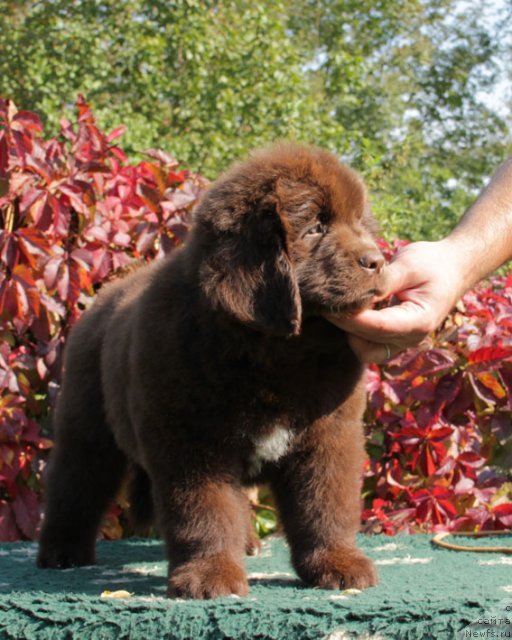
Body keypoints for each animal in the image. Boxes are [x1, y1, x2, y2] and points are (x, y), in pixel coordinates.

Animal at [38, 142, 386, 596]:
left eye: (360, 224)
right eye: (314, 228)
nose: (377, 260)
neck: (276, 353)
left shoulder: (329, 436)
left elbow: (325, 503)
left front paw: (338, 563)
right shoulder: (192, 441)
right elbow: (205, 510)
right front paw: (211, 575)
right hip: (87, 424)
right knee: (75, 482)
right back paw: (61, 551)